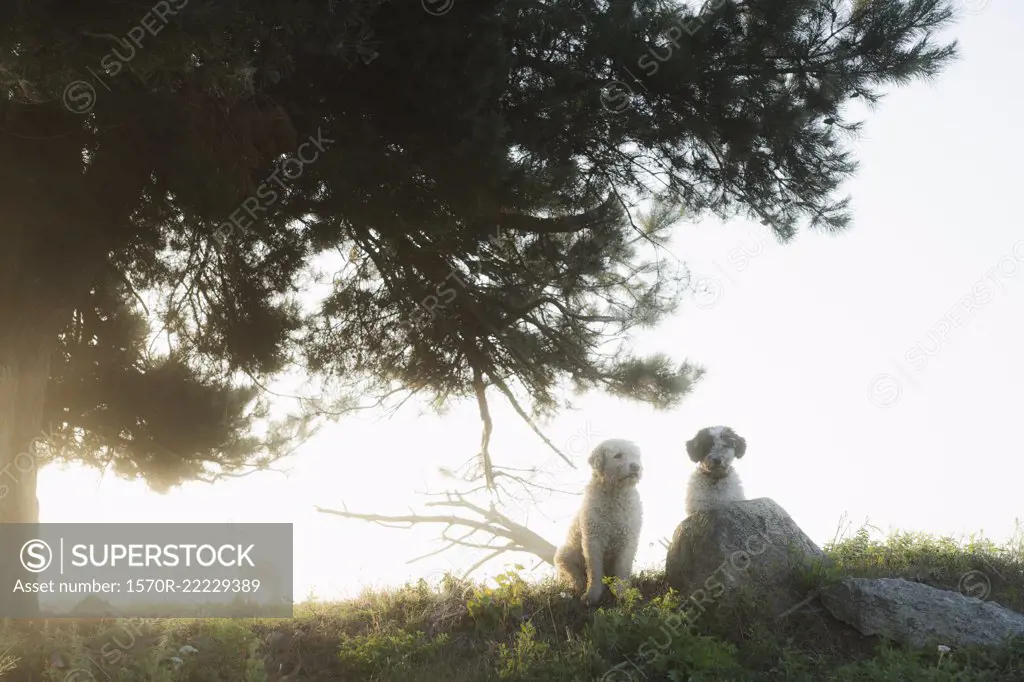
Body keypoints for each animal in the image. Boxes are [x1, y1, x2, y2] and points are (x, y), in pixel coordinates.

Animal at [557, 438, 643, 602]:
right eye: (618, 455)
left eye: (636, 456)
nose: (636, 467)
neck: (615, 495)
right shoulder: (593, 539)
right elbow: (594, 570)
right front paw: (592, 595)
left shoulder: (628, 539)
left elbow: (623, 568)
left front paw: (622, 592)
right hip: (565, 553)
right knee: (575, 576)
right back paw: (579, 587)